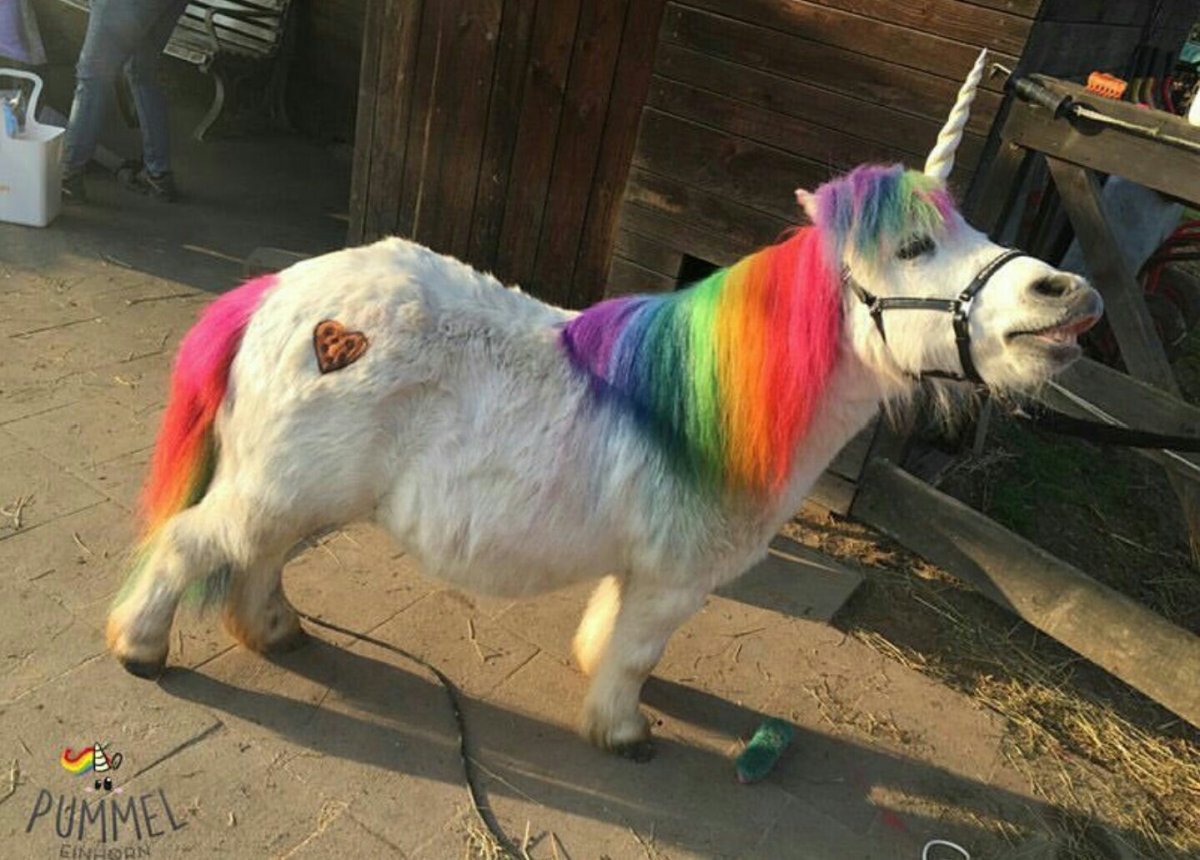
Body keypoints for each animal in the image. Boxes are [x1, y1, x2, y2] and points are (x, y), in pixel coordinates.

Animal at [106, 53, 1103, 759]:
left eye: (974, 226)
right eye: (914, 245)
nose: (1068, 296)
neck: (715, 402)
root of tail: (280, 292)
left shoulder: (641, 570)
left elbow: (611, 631)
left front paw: (597, 679)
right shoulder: (675, 579)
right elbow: (638, 652)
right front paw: (623, 733)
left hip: (301, 490)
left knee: (257, 554)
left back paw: (276, 633)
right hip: (282, 485)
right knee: (197, 543)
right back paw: (141, 650)